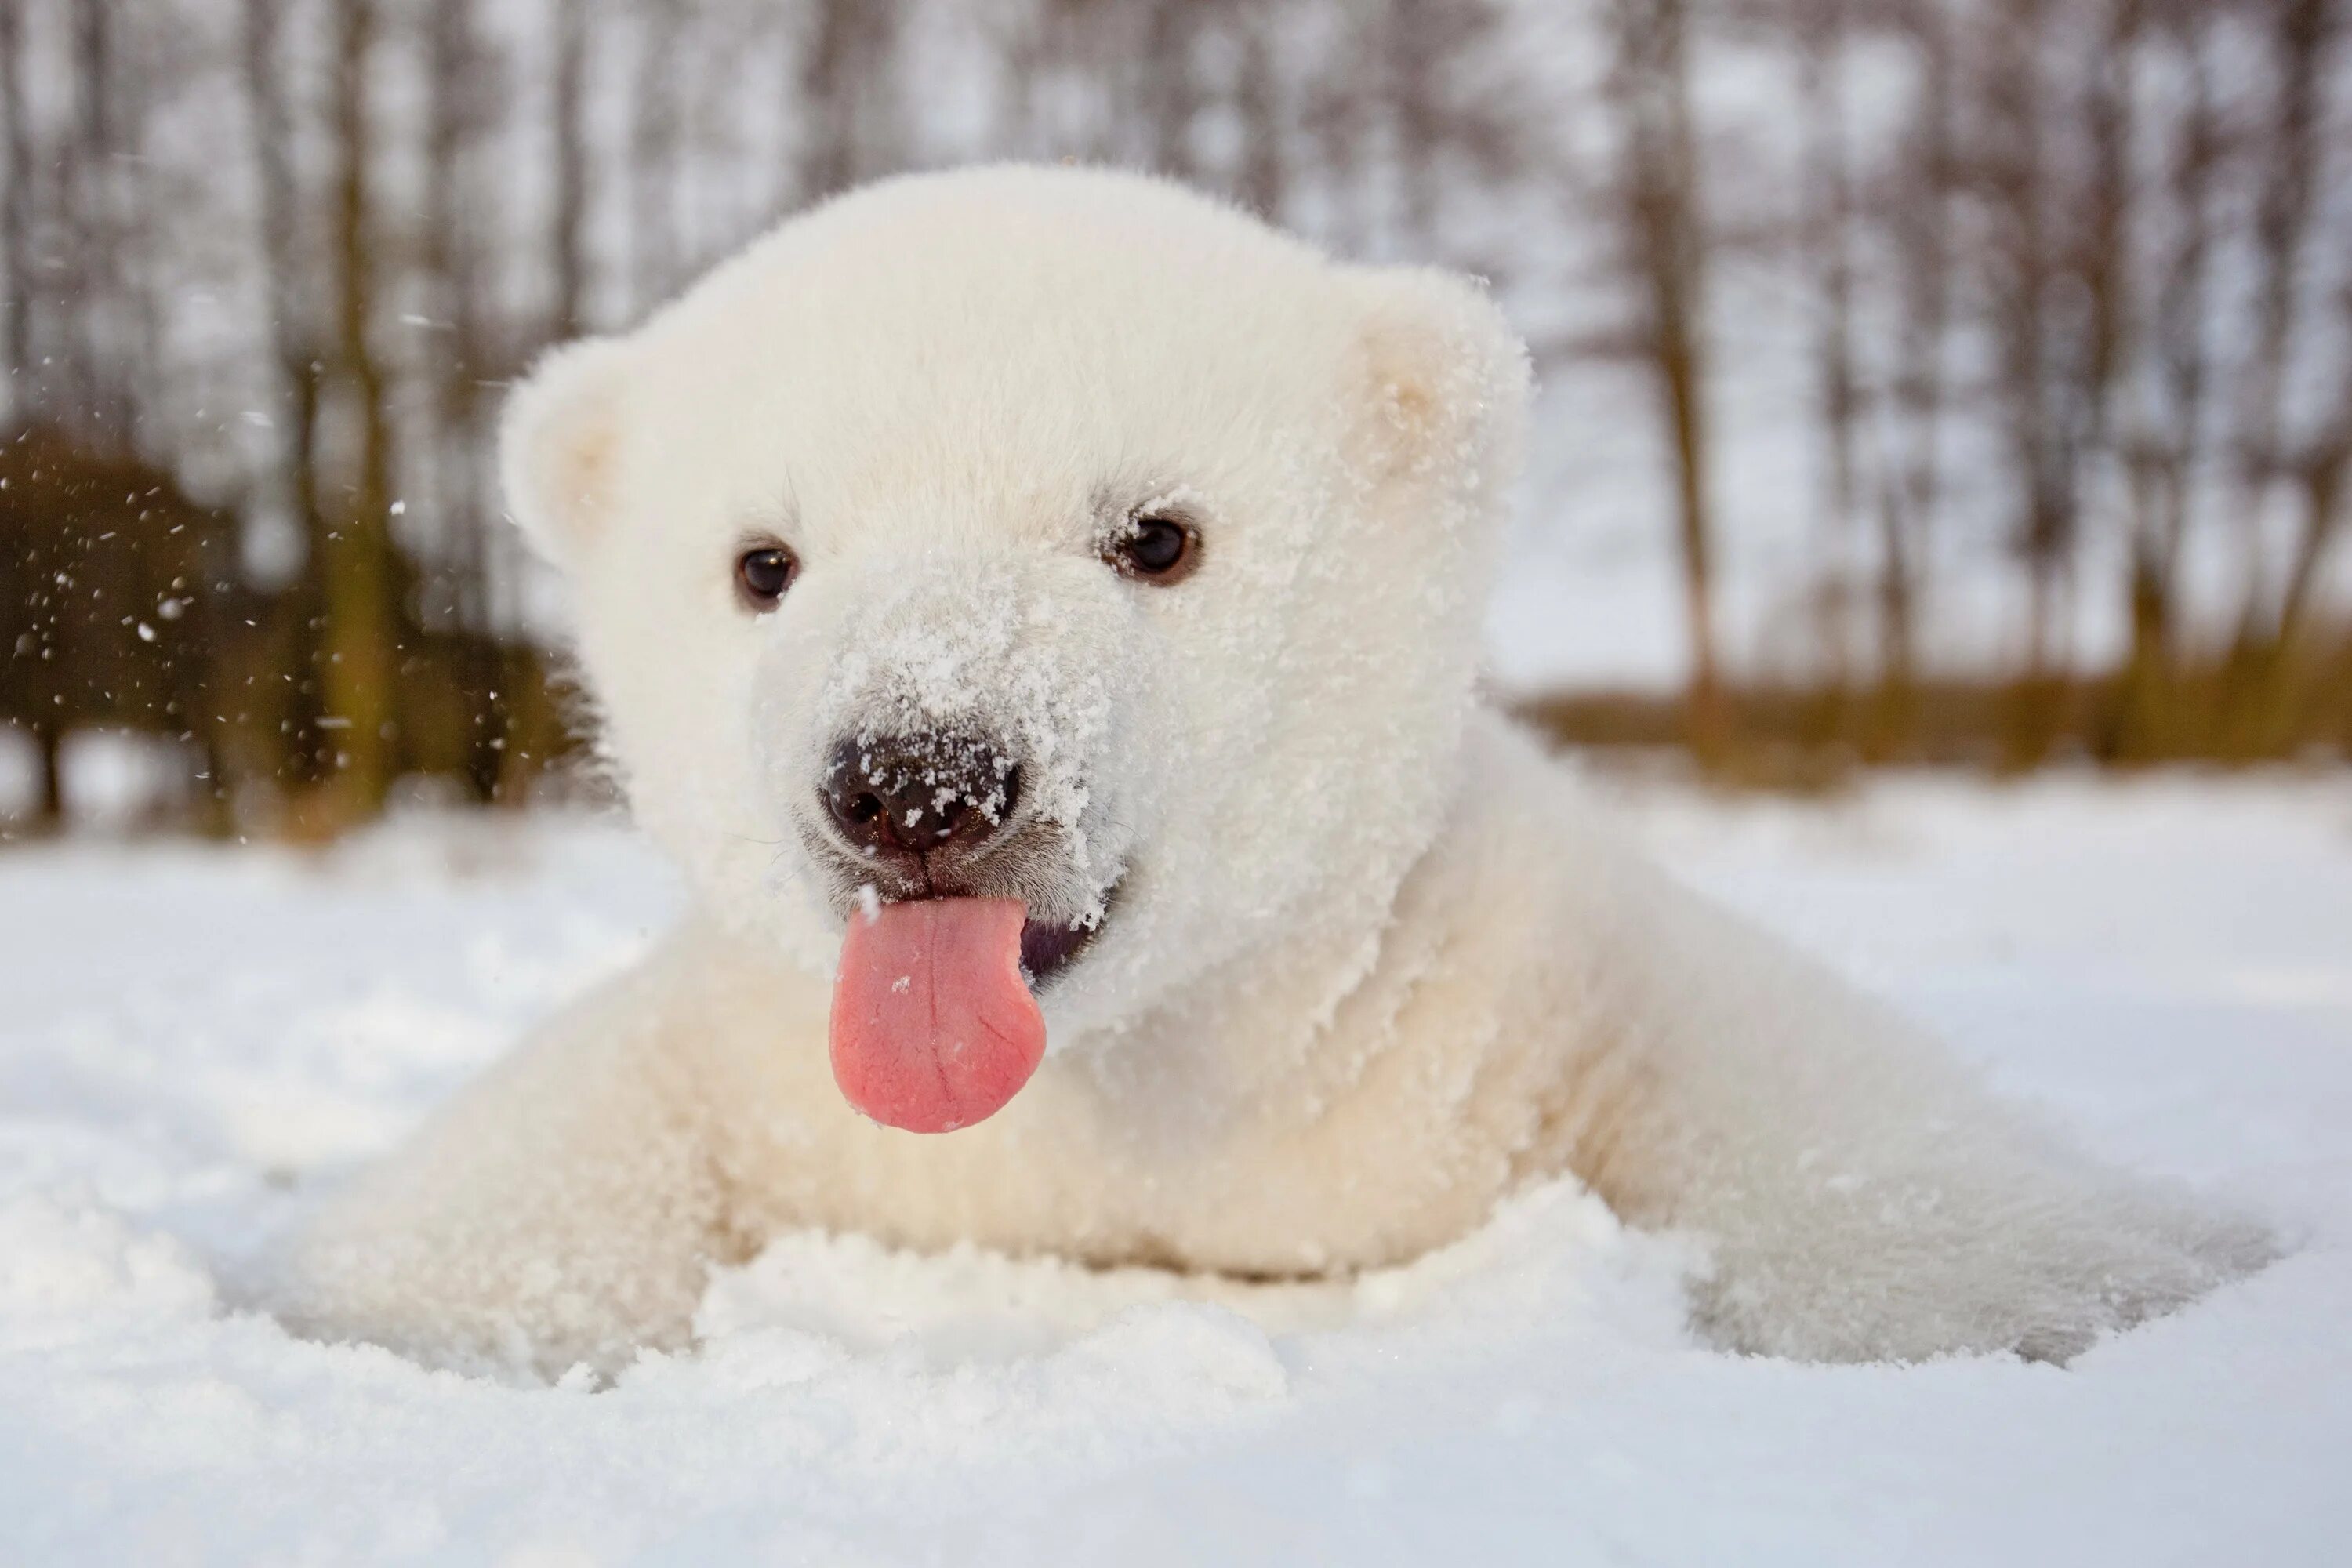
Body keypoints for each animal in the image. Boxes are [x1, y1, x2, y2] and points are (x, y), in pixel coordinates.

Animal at [275, 165, 2277, 1382]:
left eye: (1154, 535)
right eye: (761, 562)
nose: (918, 777)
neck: (1121, 1088)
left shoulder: (1495, 978)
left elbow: (1789, 1090)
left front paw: (2099, 1276)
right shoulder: (777, 1060)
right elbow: (564, 1143)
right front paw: (384, 1306)